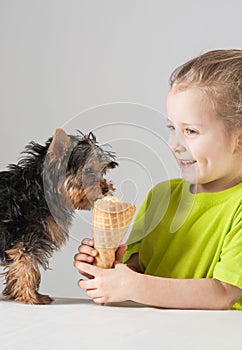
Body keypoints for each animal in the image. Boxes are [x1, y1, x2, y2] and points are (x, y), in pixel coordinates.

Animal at [0, 129, 117, 304]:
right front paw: (31, 296)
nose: (105, 189)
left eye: (101, 171)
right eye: (88, 171)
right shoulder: (27, 236)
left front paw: (19, 293)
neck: (40, 191)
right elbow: (27, 264)